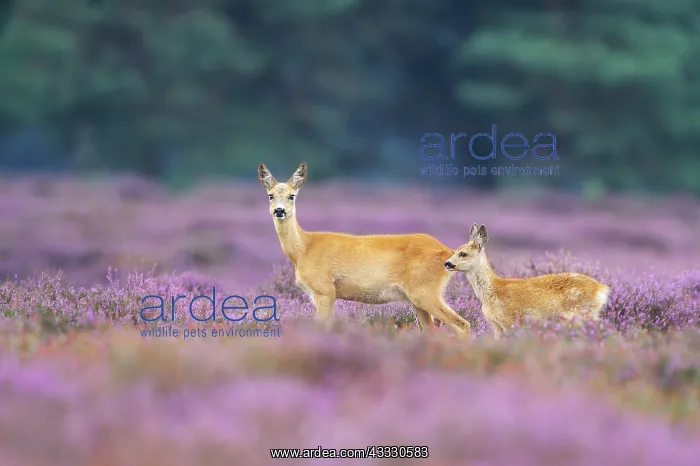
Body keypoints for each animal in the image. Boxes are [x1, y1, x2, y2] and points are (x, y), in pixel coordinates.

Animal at [257, 161, 472, 339]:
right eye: (270, 195)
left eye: (292, 196)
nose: (279, 211)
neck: (304, 249)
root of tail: (447, 251)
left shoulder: (324, 289)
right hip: (419, 299)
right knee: (432, 330)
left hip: (425, 291)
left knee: (462, 325)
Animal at [444, 224, 610, 338]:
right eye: (455, 250)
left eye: (463, 253)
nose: (447, 263)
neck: (493, 291)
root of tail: (602, 288)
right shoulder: (496, 325)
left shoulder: (509, 320)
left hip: (581, 314)